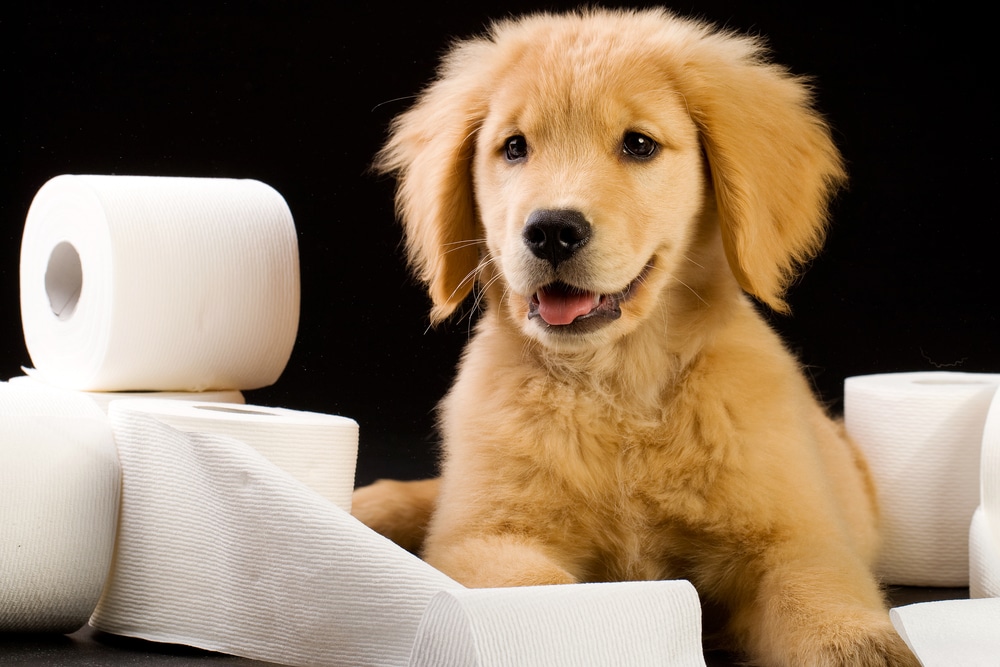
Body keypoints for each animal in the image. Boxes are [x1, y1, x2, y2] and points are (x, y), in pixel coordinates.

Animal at [356, 6, 916, 667]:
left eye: (639, 144)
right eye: (514, 147)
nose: (551, 230)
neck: (615, 386)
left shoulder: (798, 537)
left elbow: (820, 596)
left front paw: (861, 644)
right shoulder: (485, 536)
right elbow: (544, 598)